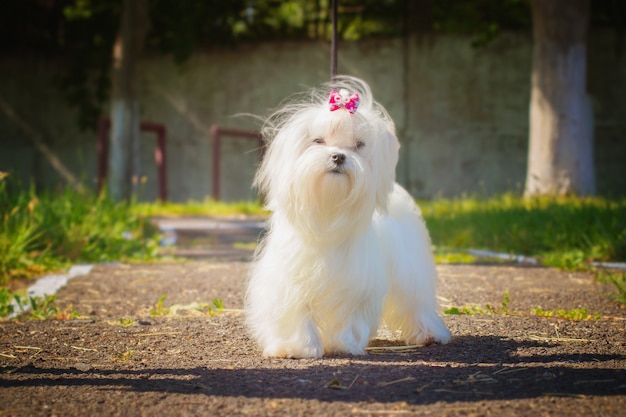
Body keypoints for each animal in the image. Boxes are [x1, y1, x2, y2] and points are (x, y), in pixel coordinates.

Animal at [244, 76, 448, 356]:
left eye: (359, 145)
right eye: (318, 141)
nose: (338, 156)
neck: (328, 213)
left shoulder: (355, 285)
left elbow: (348, 316)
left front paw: (343, 344)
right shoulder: (289, 282)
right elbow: (296, 313)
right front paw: (296, 347)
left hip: (411, 271)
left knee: (416, 302)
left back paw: (429, 334)